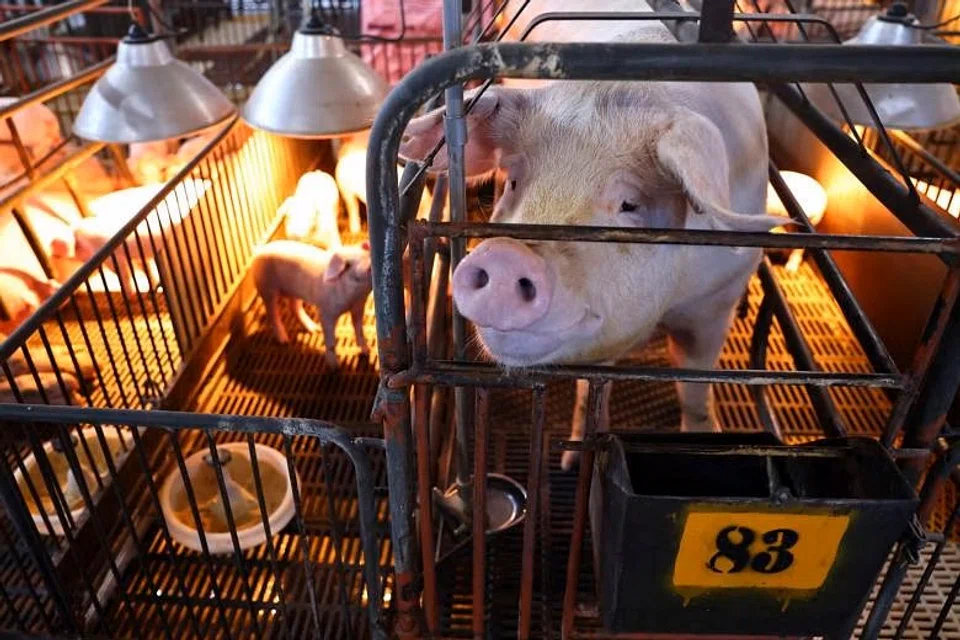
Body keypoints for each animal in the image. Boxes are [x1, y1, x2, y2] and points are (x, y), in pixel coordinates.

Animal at [251, 240, 373, 369]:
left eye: (366, 254)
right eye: (348, 266)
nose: (368, 266)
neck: (352, 299)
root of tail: (259, 251)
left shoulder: (358, 307)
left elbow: (359, 330)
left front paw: (366, 352)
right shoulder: (326, 313)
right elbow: (330, 341)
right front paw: (335, 367)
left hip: (294, 292)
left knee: (293, 307)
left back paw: (314, 329)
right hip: (267, 289)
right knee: (272, 313)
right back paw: (284, 340)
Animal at [399, 0, 784, 470]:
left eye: (629, 204)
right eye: (515, 182)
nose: (507, 254)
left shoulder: (717, 299)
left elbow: (694, 385)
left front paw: (707, 437)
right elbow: (592, 388)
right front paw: (572, 462)